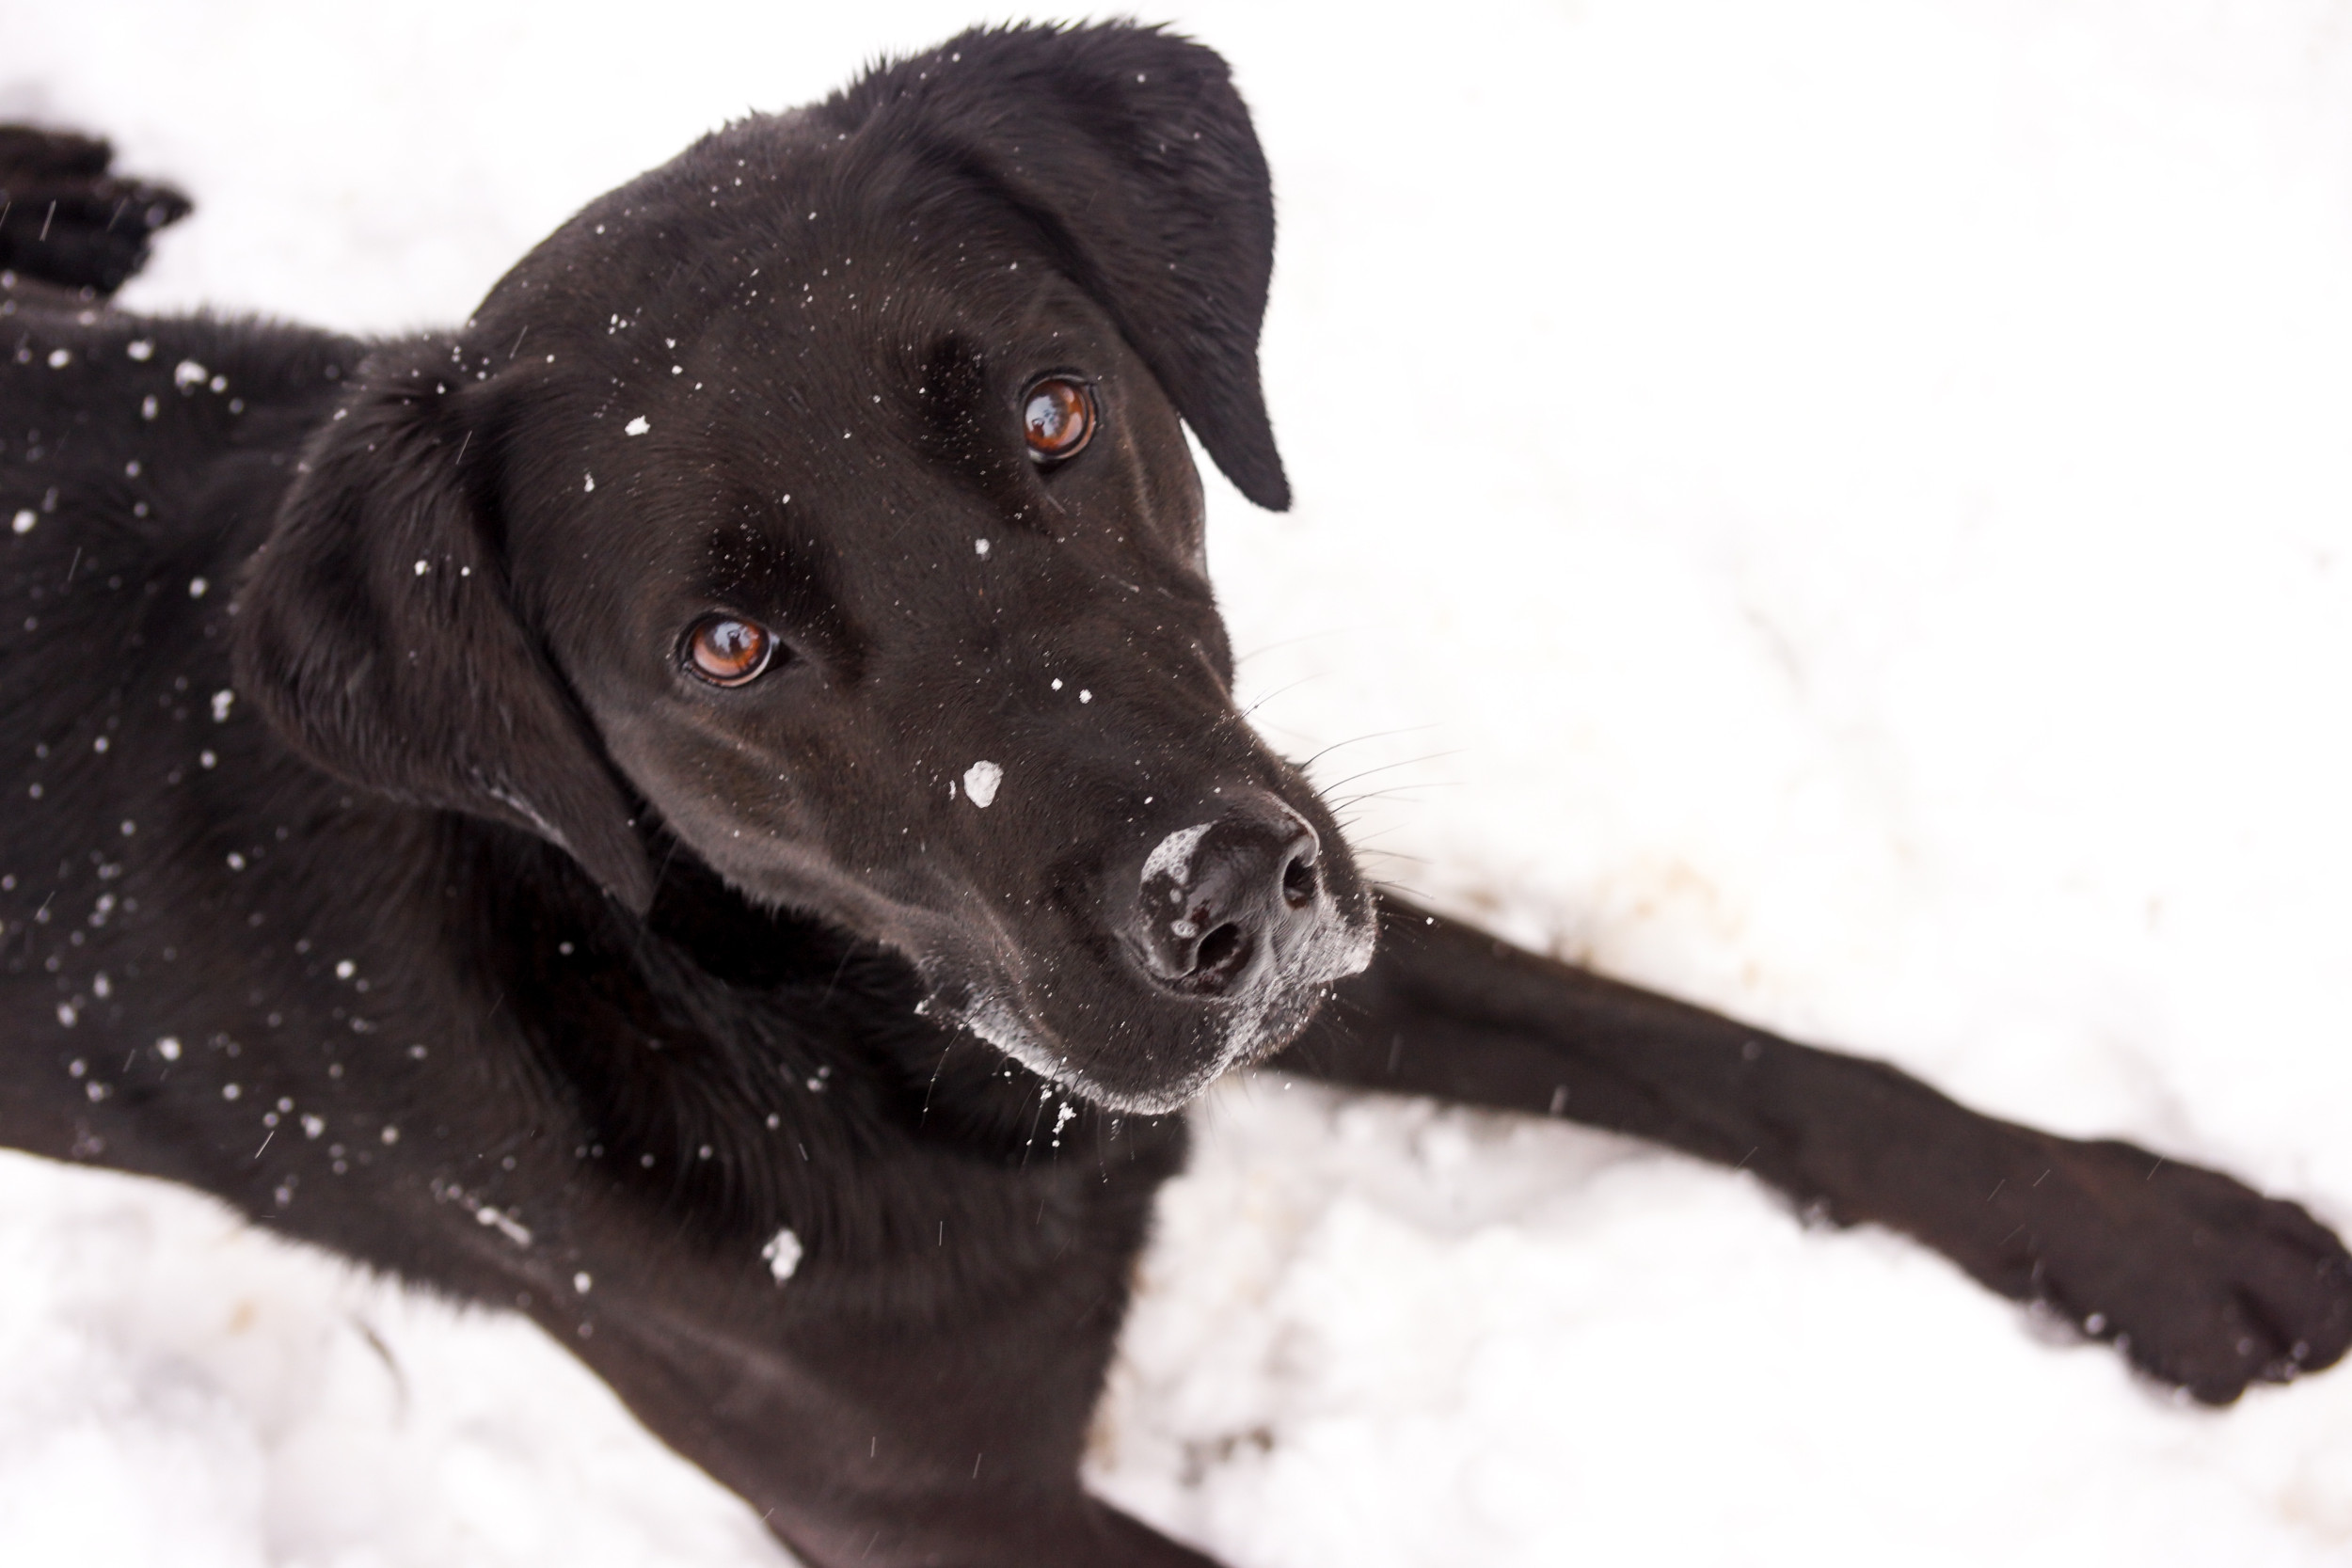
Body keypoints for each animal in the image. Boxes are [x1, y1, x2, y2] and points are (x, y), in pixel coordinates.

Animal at [4, 24, 2352, 1568]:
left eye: (1056, 412)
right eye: (724, 645)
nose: (1219, 889)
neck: (821, 1029)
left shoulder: (1306, 903)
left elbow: (1726, 1050)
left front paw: (2155, 1230)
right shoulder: (940, 1510)